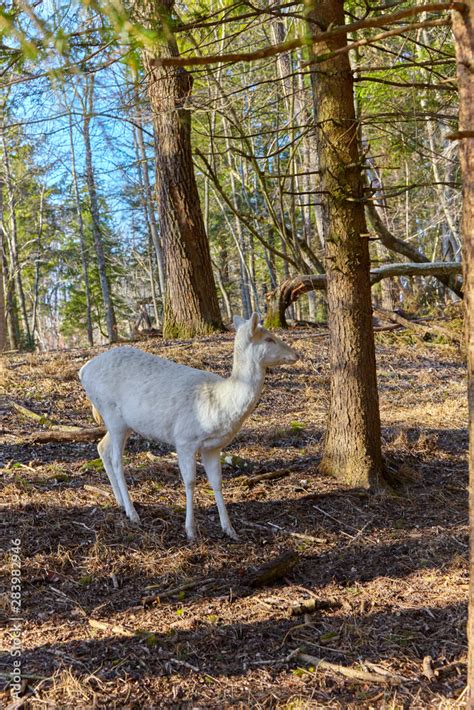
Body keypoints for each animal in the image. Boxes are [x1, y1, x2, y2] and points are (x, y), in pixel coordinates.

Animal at [79, 314, 298, 544]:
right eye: (269, 338)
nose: (296, 354)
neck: (221, 403)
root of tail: (83, 370)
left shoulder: (213, 447)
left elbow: (217, 482)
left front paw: (229, 529)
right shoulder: (185, 439)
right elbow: (190, 481)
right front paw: (190, 530)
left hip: (122, 422)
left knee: (101, 447)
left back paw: (120, 502)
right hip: (112, 414)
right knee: (116, 459)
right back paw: (133, 513)